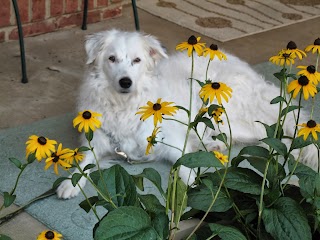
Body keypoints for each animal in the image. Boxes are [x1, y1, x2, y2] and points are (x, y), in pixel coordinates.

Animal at [57, 29, 318, 199]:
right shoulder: (100, 142)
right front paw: (70, 183)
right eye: (112, 59)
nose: (125, 82)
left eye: (137, 60)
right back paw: (213, 146)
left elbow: (184, 165)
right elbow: (84, 161)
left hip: (229, 113)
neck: (124, 104)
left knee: (274, 134)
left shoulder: (171, 142)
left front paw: (194, 186)